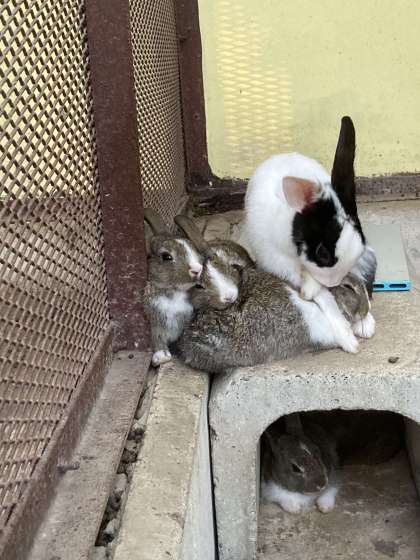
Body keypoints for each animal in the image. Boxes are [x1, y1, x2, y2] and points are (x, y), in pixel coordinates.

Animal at [143, 208, 204, 367]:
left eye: (193, 249)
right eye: (166, 257)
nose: (197, 269)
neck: (174, 291)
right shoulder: (154, 324)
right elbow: (157, 340)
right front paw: (162, 357)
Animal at [242, 116, 377, 353]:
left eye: (361, 239)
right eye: (322, 253)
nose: (334, 282)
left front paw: (365, 322)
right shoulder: (281, 263)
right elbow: (324, 297)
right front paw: (348, 338)